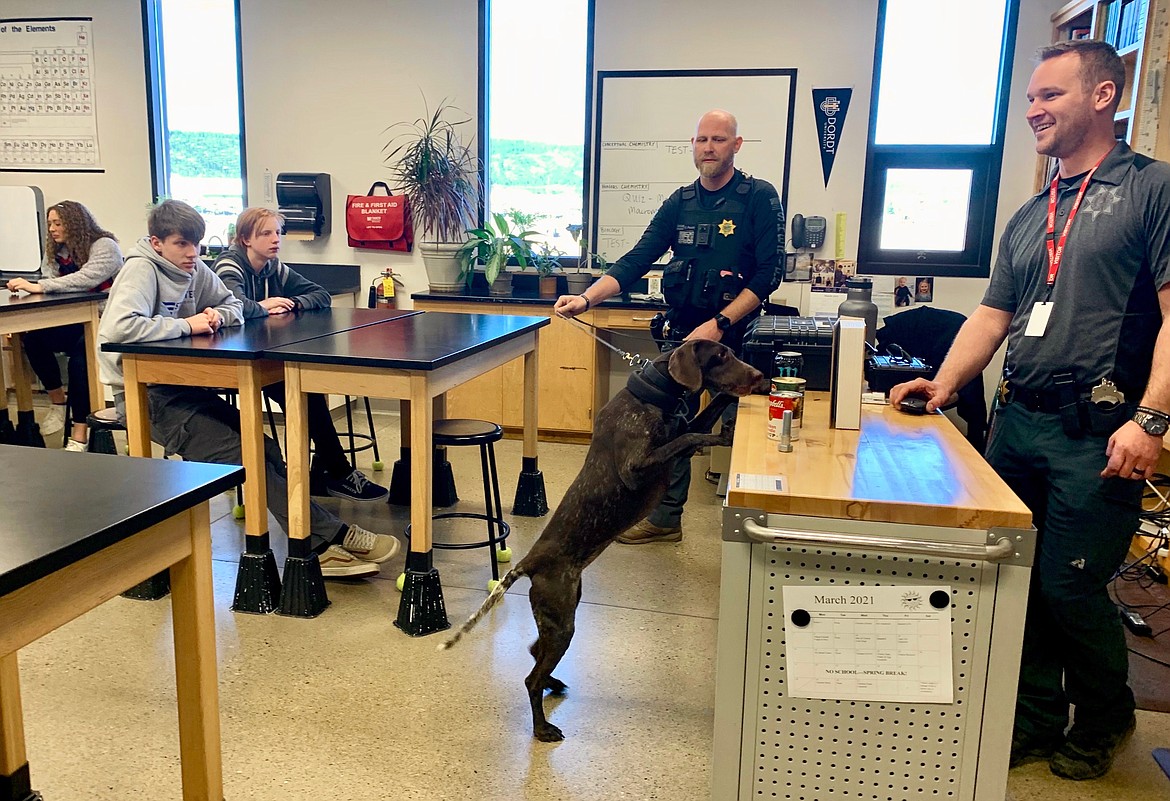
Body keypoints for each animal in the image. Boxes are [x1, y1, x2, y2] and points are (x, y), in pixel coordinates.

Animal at [439, 336, 767, 739]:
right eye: (720, 356)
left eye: (730, 353)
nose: (758, 375)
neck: (652, 396)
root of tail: (530, 561)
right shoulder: (638, 466)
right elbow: (692, 433)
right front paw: (724, 432)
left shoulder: (679, 435)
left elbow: (702, 417)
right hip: (562, 622)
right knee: (531, 678)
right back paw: (542, 727)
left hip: (559, 617)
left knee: (535, 655)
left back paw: (554, 684)